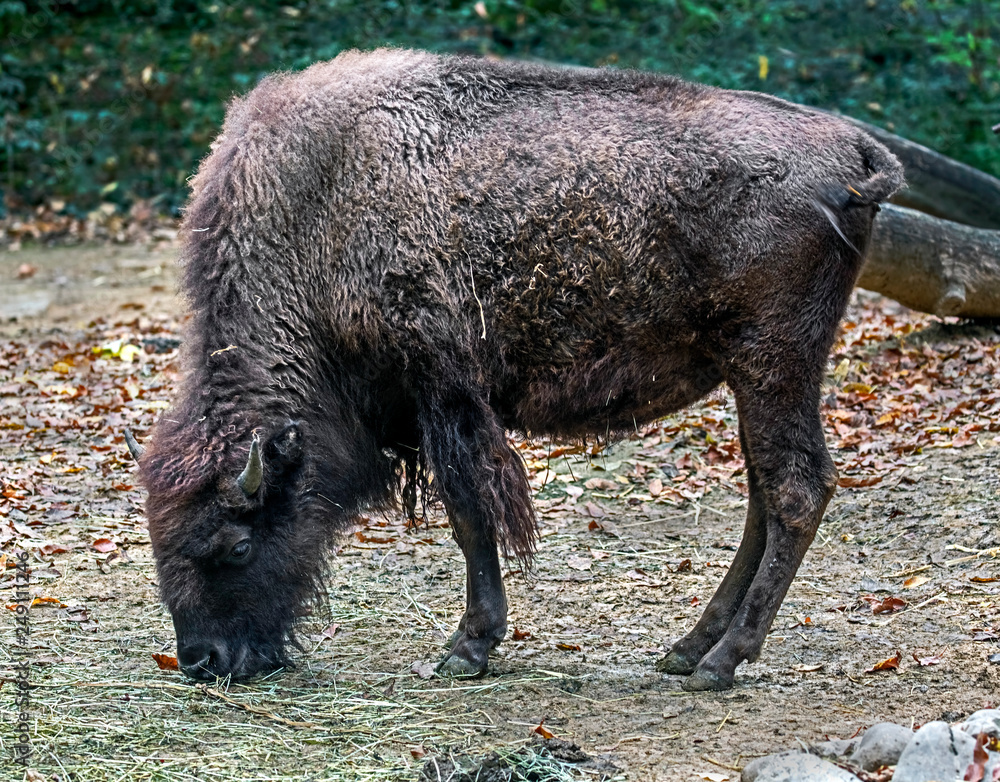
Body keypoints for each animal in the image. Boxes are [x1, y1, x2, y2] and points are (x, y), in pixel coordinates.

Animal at [126, 48, 904, 692]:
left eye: (235, 543)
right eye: (160, 542)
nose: (203, 661)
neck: (317, 215)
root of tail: (855, 151)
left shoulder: (443, 392)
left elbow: (471, 513)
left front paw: (467, 649)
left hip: (775, 364)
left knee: (797, 491)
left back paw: (721, 662)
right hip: (755, 377)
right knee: (764, 497)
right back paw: (687, 649)